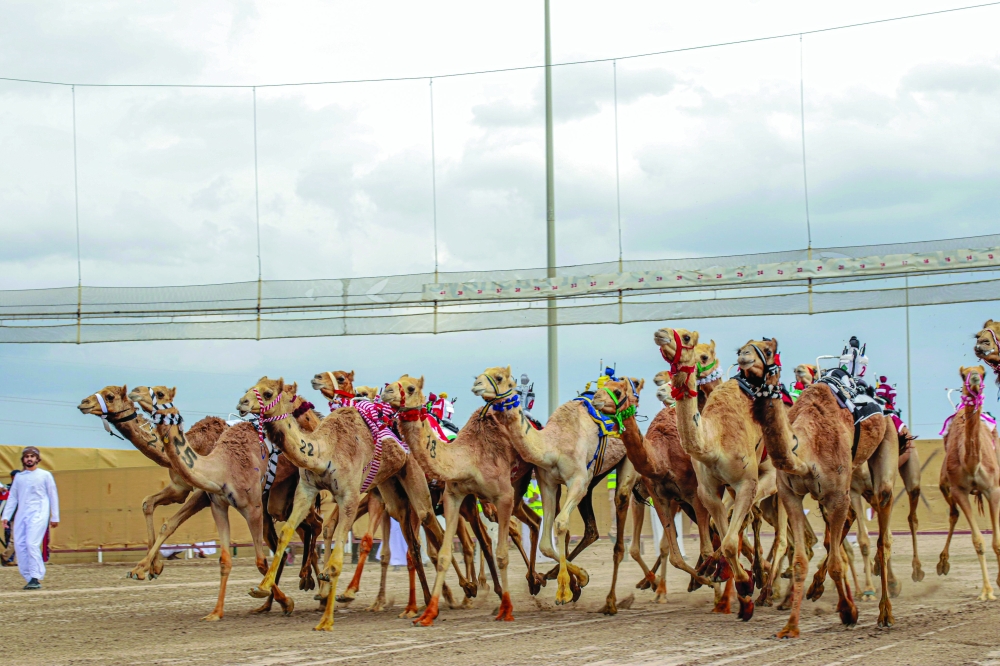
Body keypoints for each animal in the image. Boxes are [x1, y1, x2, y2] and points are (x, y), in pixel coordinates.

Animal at [77, 385, 224, 580]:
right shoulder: (179, 488)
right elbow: (148, 503)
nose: (84, 403)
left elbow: (168, 524)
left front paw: (140, 568)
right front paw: (154, 567)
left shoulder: (206, 491)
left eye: (110, 396)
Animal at [129, 385, 294, 621]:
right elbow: (224, 559)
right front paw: (216, 612)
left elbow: (261, 560)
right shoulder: (216, 504)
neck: (222, 466)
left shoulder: (252, 507)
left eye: (160, 394)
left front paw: (282, 600)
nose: (134, 391)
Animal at [737, 337, 897, 637]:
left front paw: (849, 612)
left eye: (767, 350)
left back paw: (885, 613)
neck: (804, 450)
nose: (743, 356)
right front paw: (790, 626)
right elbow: (800, 560)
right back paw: (818, 590)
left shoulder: (836, 495)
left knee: (882, 536)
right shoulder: (791, 495)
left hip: (884, 449)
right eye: (742, 347)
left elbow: (834, 560)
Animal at [936, 365, 1000, 601]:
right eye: (963, 374)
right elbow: (978, 541)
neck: (972, 464)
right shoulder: (959, 490)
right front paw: (987, 591)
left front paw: (998, 583)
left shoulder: (993, 489)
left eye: (983, 372)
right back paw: (942, 563)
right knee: (953, 515)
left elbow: (997, 542)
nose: (974, 379)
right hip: (945, 486)